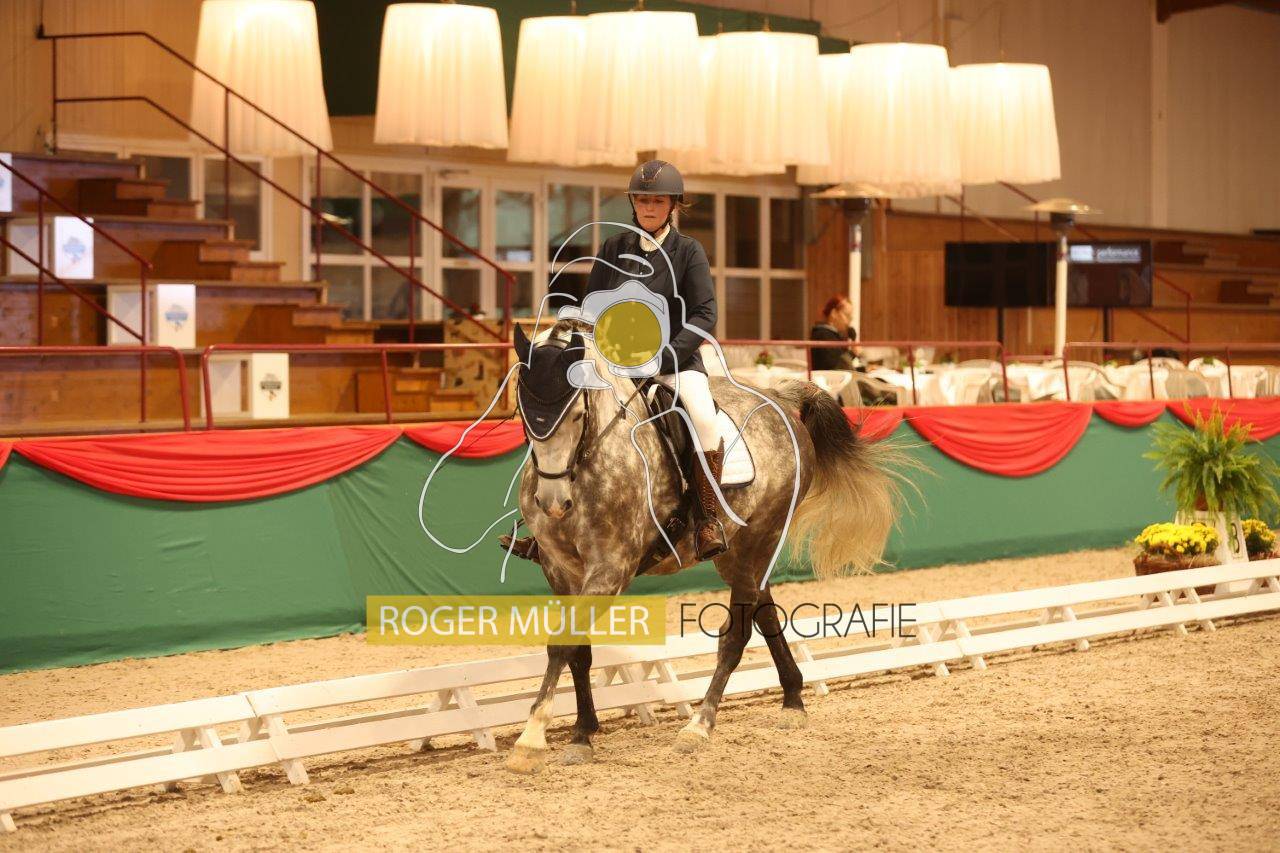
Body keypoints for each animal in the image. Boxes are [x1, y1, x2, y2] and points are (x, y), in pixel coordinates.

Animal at [505, 318, 902, 773]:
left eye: (575, 414)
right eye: (523, 414)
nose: (553, 503)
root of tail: (778, 398)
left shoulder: (610, 569)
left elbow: (563, 644)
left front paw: (531, 740)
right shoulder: (559, 570)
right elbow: (577, 652)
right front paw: (582, 735)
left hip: (756, 541)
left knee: (736, 636)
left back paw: (699, 724)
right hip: (742, 554)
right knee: (765, 612)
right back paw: (792, 700)